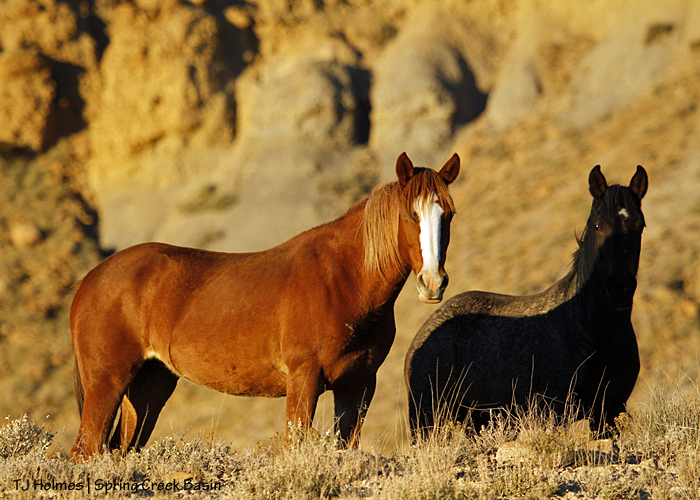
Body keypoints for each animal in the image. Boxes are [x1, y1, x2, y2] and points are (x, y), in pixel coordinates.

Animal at [70, 152, 460, 461]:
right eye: (411, 215)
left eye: (449, 215)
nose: (432, 282)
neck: (344, 279)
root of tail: (89, 279)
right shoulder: (304, 379)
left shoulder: (359, 385)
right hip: (108, 382)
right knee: (86, 451)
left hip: (149, 385)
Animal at [405, 164, 648, 438]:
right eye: (598, 226)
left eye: (640, 226)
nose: (620, 288)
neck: (593, 330)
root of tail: (421, 334)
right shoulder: (554, 414)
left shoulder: (608, 413)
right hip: (426, 420)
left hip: (476, 421)